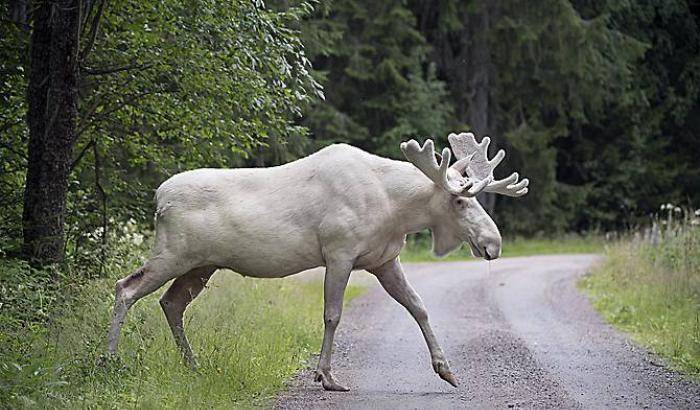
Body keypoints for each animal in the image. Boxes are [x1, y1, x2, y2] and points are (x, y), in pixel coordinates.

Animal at [106, 131, 528, 390]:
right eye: (459, 200)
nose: (493, 243)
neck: (395, 209)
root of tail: (158, 198)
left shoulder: (384, 260)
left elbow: (419, 307)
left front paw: (446, 370)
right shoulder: (339, 252)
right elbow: (332, 315)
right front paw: (326, 376)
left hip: (201, 265)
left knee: (171, 302)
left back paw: (192, 365)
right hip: (173, 254)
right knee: (125, 287)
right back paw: (108, 361)